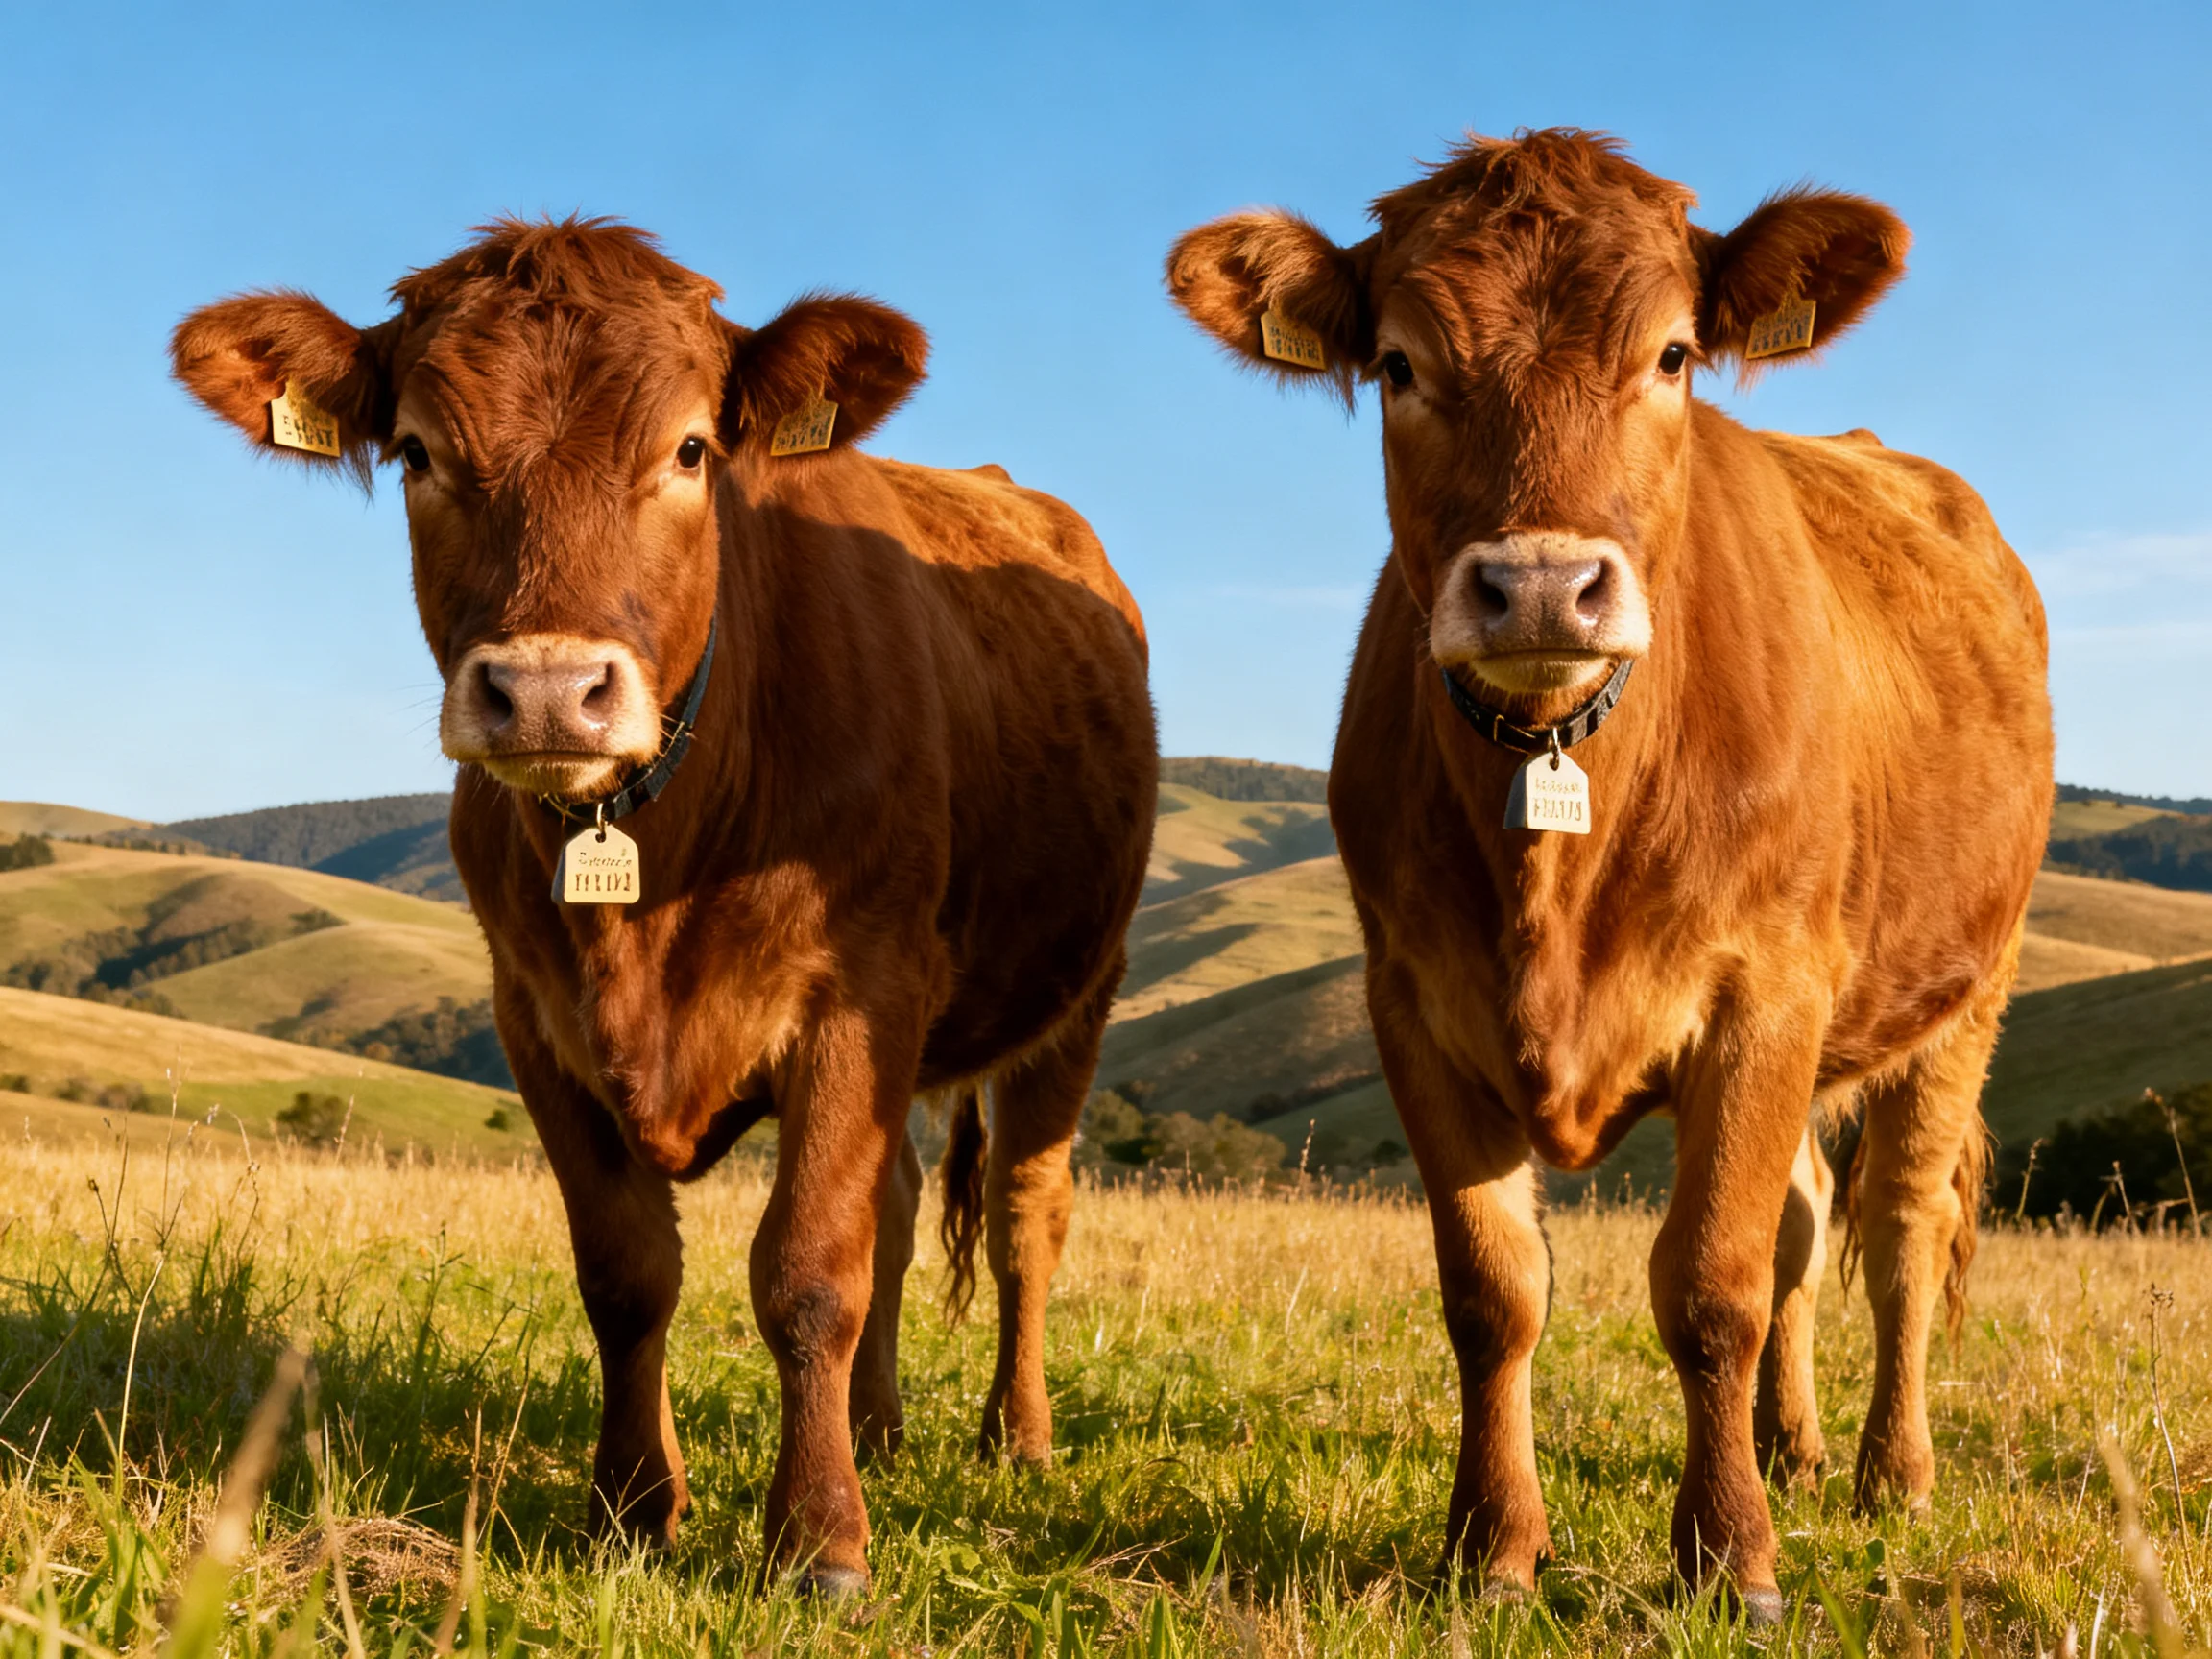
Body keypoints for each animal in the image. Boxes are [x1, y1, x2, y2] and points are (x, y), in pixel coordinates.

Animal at [172, 219, 1157, 1592]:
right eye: (419, 452)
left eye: (691, 449)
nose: (545, 691)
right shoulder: (535, 1018)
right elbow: (630, 1273)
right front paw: (634, 1508)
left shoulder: (860, 988)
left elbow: (809, 1270)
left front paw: (819, 1539)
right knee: (902, 1208)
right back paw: (879, 1427)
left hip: (1079, 992)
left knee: (1025, 1214)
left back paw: (1013, 1437)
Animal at [1167, 130, 2050, 1618]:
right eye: (1398, 364)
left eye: (1676, 354)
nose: (1537, 585)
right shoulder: (1414, 1003)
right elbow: (1495, 1291)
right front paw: (1493, 1548)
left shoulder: (1765, 993)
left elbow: (1710, 1284)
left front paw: (1731, 1559)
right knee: (1809, 1218)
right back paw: (1791, 1447)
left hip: (1964, 995)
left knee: (1900, 1231)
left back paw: (1891, 1474)